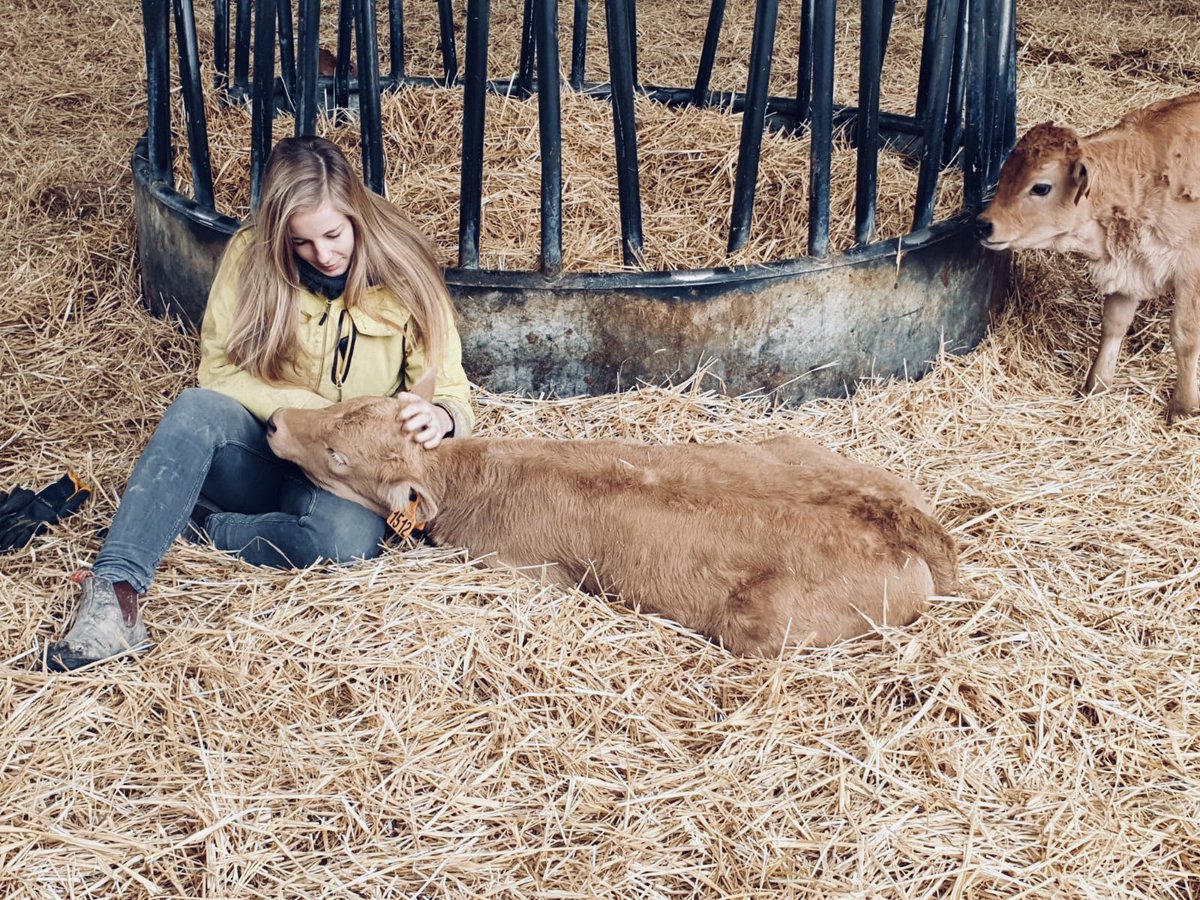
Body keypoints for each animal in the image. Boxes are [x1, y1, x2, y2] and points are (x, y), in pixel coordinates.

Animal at [266, 376, 957, 658]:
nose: (274, 421)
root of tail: (902, 515)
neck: (476, 477)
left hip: (762, 622)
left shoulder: (526, 573)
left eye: (338, 455)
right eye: (345, 404)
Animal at [975, 92, 1200, 423]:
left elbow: (1185, 336)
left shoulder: (1190, 270)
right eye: (1004, 177)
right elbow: (1113, 325)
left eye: (1041, 187)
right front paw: (1096, 384)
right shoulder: (1128, 266)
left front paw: (1183, 407)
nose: (983, 224)